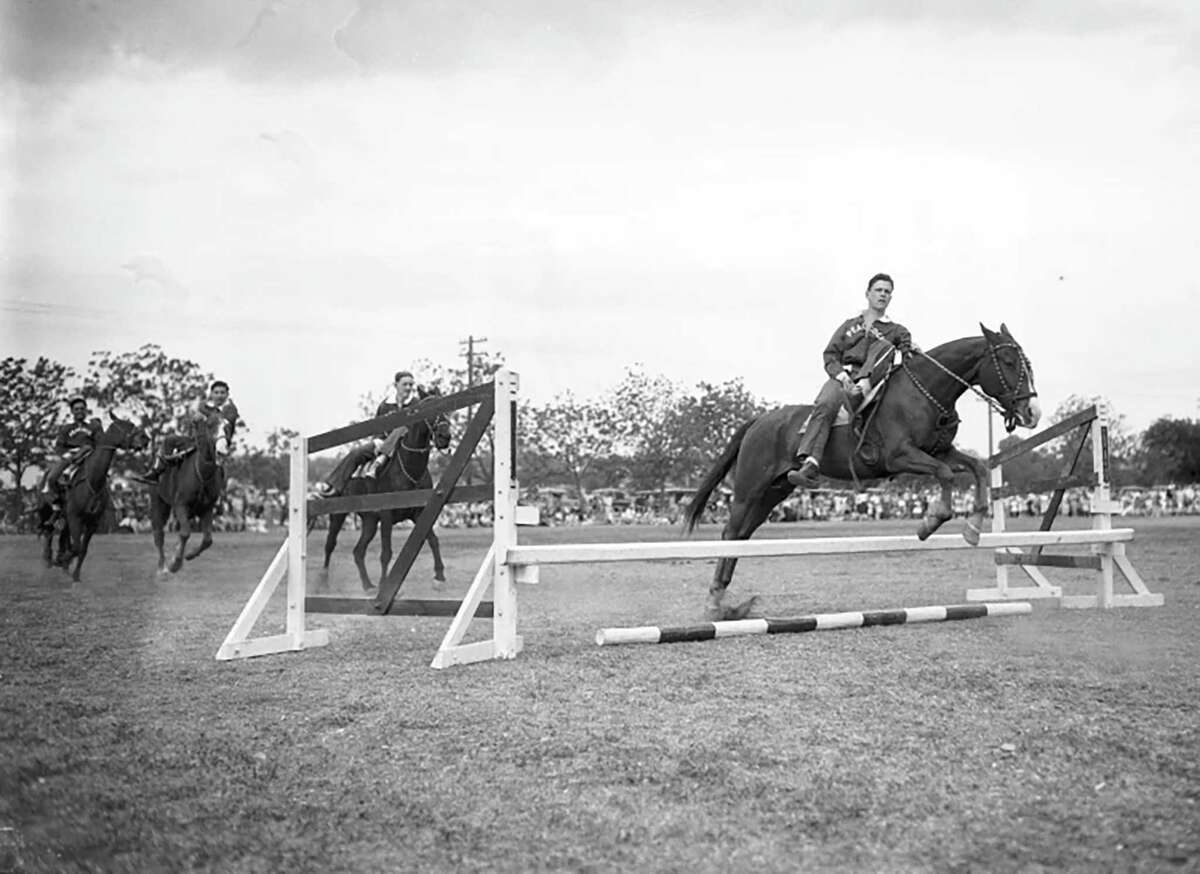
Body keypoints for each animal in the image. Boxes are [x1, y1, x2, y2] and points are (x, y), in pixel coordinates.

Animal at [38, 415, 149, 581]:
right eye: (127, 425)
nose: (145, 438)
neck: (93, 479)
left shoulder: (92, 523)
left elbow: (81, 550)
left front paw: (75, 574)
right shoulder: (75, 517)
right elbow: (76, 547)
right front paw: (63, 560)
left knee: (61, 535)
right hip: (48, 511)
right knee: (48, 531)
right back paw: (48, 558)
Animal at [150, 412, 225, 576]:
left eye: (227, 426)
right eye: (210, 425)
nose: (222, 451)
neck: (201, 473)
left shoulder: (207, 508)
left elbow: (207, 539)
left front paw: (190, 555)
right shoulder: (180, 505)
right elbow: (185, 533)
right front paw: (175, 563)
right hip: (158, 502)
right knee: (159, 534)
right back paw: (161, 567)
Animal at [316, 398, 451, 593]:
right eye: (432, 411)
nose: (445, 437)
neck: (409, 468)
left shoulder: (419, 512)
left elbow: (433, 540)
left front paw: (439, 577)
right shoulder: (387, 516)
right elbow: (386, 553)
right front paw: (384, 584)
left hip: (370, 522)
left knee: (358, 551)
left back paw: (367, 585)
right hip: (338, 516)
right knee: (330, 544)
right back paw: (323, 581)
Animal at [686, 321, 1041, 619]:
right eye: (1008, 362)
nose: (1032, 412)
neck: (923, 392)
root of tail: (759, 421)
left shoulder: (940, 452)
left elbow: (977, 469)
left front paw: (973, 527)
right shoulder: (900, 456)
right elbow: (945, 474)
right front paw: (930, 522)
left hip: (774, 491)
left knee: (742, 536)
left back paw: (726, 603)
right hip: (749, 488)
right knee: (730, 534)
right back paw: (714, 603)